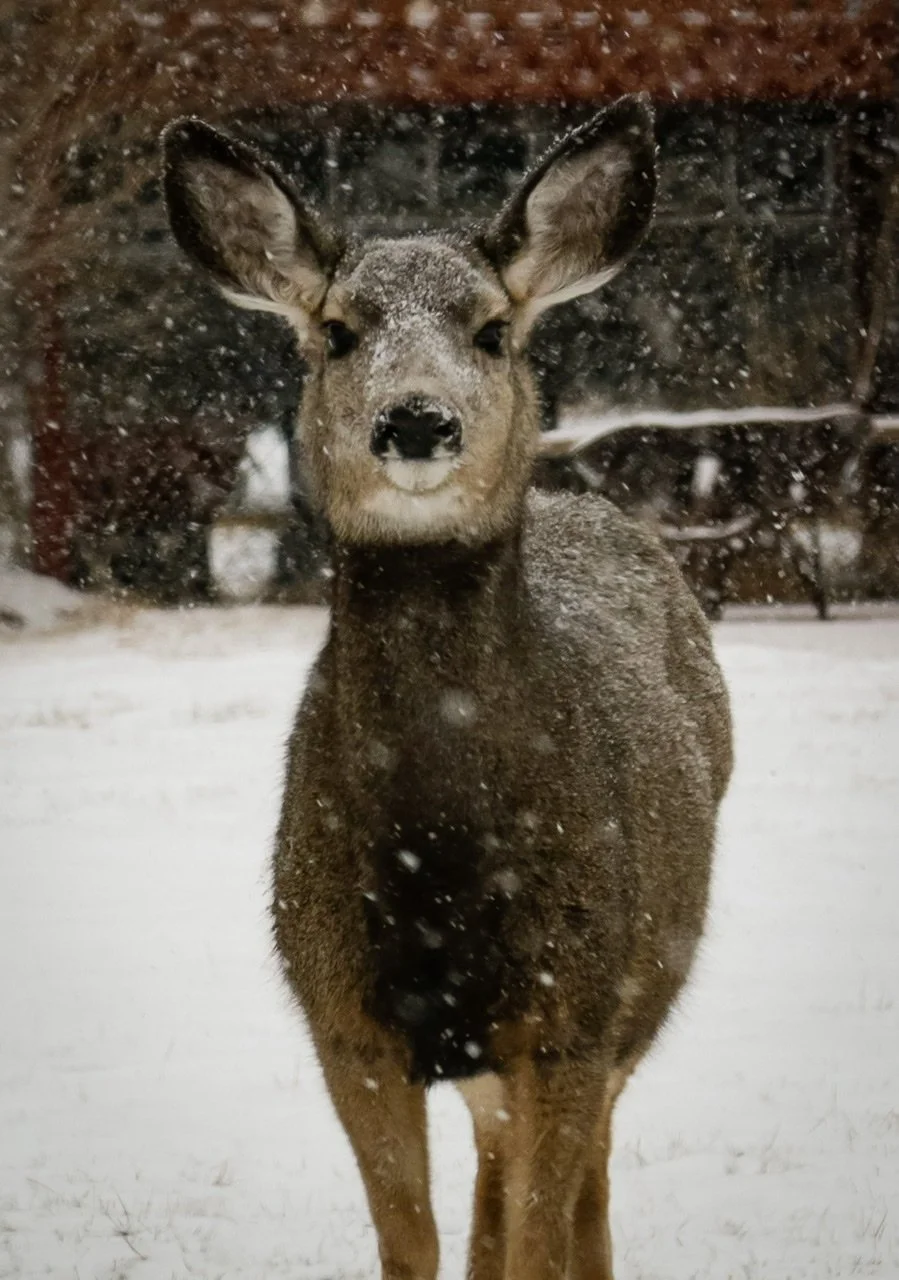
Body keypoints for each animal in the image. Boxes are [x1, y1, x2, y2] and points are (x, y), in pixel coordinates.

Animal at [162, 96, 732, 1280]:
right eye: (338, 330)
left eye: (490, 330)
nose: (417, 420)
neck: (440, 855)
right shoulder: (340, 1014)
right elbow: (410, 1241)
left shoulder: (574, 1011)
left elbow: (539, 1231)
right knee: (495, 1163)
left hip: (639, 992)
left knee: (584, 1178)